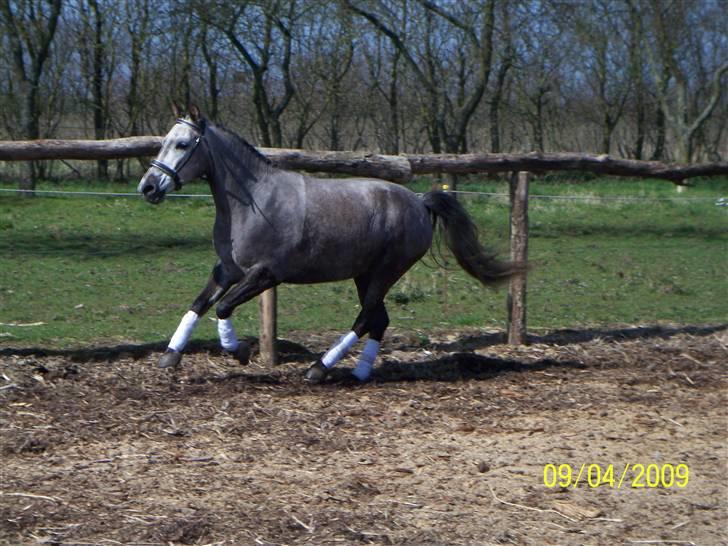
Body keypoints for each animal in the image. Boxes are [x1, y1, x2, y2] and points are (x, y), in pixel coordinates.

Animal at [138, 104, 524, 380]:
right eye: (165, 141)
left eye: (183, 144)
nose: (148, 187)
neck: (252, 201)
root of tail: (419, 202)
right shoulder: (228, 269)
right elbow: (199, 303)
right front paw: (170, 357)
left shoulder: (265, 274)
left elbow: (222, 307)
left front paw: (239, 351)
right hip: (365, 275)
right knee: (379, 320)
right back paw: (359, 372)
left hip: (384, 273)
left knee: (367, 318)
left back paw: (319, 369)